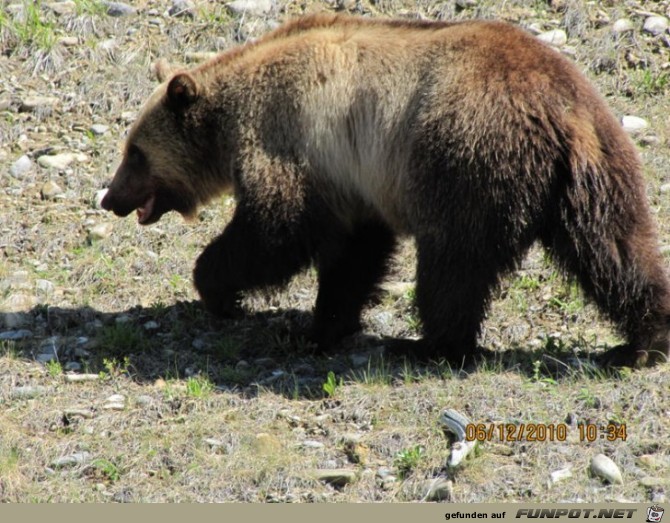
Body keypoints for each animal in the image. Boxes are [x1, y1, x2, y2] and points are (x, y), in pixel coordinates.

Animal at [101, 14, 670, 370]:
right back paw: (646, 338)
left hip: (465, 156)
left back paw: (428, 345)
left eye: (135, 153)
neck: (230, 115)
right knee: (616, 248)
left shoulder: (293, 140)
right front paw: (324, 326)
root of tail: (555, 107)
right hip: (596, 164)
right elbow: (354, 255)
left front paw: (222, 292)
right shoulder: (353, 181)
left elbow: (275, 231)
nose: (110, 198)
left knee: (454, 263)